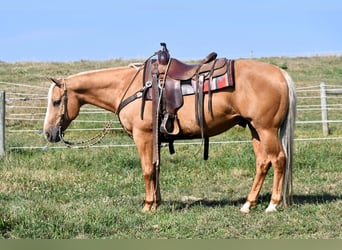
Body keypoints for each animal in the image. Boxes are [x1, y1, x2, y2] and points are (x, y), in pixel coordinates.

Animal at [42, 54, 296, 213]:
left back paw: (272, 204)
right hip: (255, 129)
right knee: (263, 162)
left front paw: (147, 205)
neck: (129, 86)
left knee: (278, 159)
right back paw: (248, 204)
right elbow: (156, 168)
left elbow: (146, 170)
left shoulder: (143, 136)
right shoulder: (155, 138)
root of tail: (280, 74)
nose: (48, 133)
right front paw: (157, 202)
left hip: (266, 129)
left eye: (56, 102)